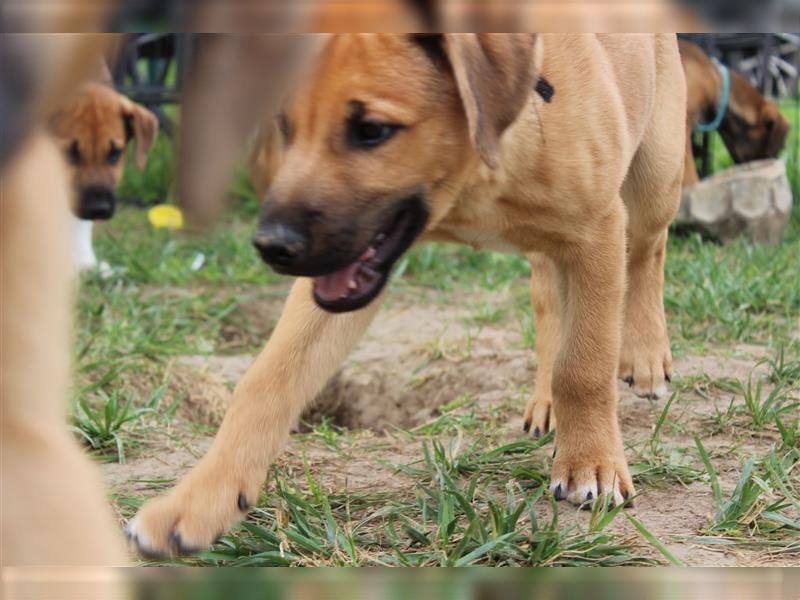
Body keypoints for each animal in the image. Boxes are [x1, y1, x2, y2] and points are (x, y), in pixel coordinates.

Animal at [131, 32, 688, 556]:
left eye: (372, 130)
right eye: (286, 128)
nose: (272, 246)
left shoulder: (597, 232)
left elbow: (586, 366)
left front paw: (591, 463)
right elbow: (267, 381)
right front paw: (198, 503)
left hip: (653, 175)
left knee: (649, 250)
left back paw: (645, 357)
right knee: (549, 298)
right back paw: (547, 400)